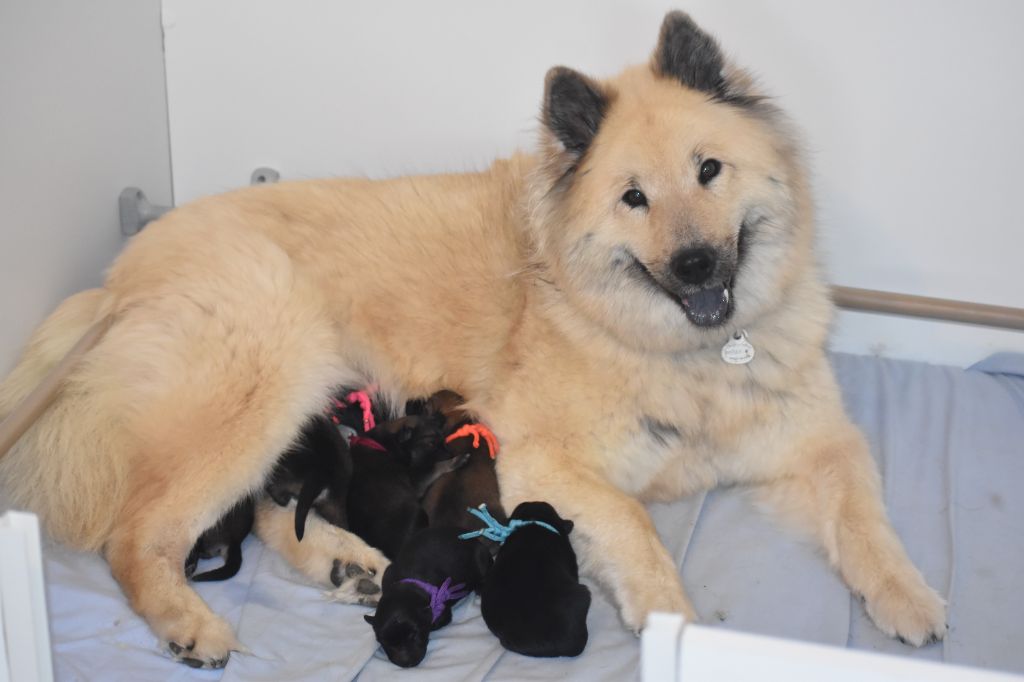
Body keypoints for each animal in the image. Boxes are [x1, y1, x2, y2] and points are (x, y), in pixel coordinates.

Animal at [366, 524, 493, 663]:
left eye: (414, 634)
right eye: (384, 642)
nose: (406, 662)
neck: (405, 586)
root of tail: (475, 539)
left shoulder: (442, 612)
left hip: (481, 559)